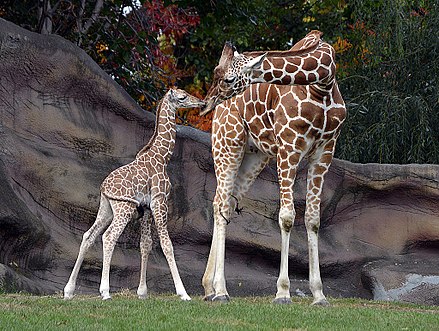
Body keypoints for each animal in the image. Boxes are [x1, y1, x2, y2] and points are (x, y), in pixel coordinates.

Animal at [63, 87, 206, 300]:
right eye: (182, 97)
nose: (201, 103)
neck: (162, 157)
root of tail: (104, 187)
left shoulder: (146, 208)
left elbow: (145, 244)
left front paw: (142, 292)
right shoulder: (160, 202)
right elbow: (167, 245)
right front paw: (183, 293)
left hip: (107, 209)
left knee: (88, 235)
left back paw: (69, 291)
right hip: (124, 208)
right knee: (109, 237)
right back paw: (105, 291)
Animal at [200, 31, 348, 306]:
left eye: (228, 78)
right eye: (215, 72)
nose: (205, 104)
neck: (324, 82)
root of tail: (220, 112)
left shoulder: (325, 150)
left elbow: (313, 219)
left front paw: (319, 294)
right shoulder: (289, 145)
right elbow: (287, 217)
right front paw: (282, 292)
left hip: (255, 156)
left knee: (224, 204)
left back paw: (209, 288)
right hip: (227, 144)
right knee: (221, 203)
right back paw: (221, 291)